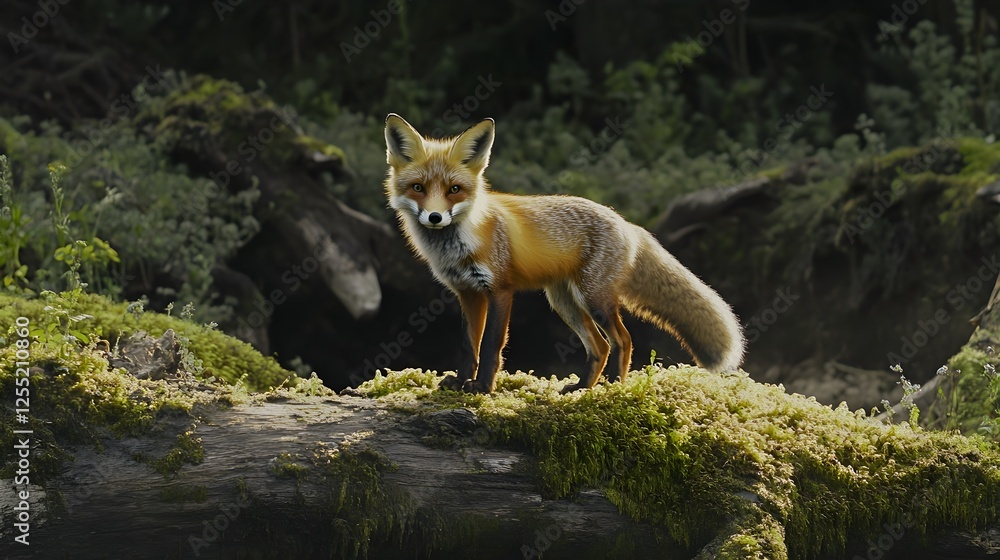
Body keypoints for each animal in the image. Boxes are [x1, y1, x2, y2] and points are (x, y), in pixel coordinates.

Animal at [383, 113, 744, 394]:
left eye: (454, 190)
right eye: (418, 188)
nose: (435, 217)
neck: (461, 243)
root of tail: (625, 222)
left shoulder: (500, 290)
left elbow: (490, 347)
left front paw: (482, 387)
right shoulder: (468, 294)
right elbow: (467, 346)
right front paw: (459, 383)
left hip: (593, 298)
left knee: (623, 340)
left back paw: (613, 388)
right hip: (565, 303)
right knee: (600, 346)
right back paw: (583, 387)